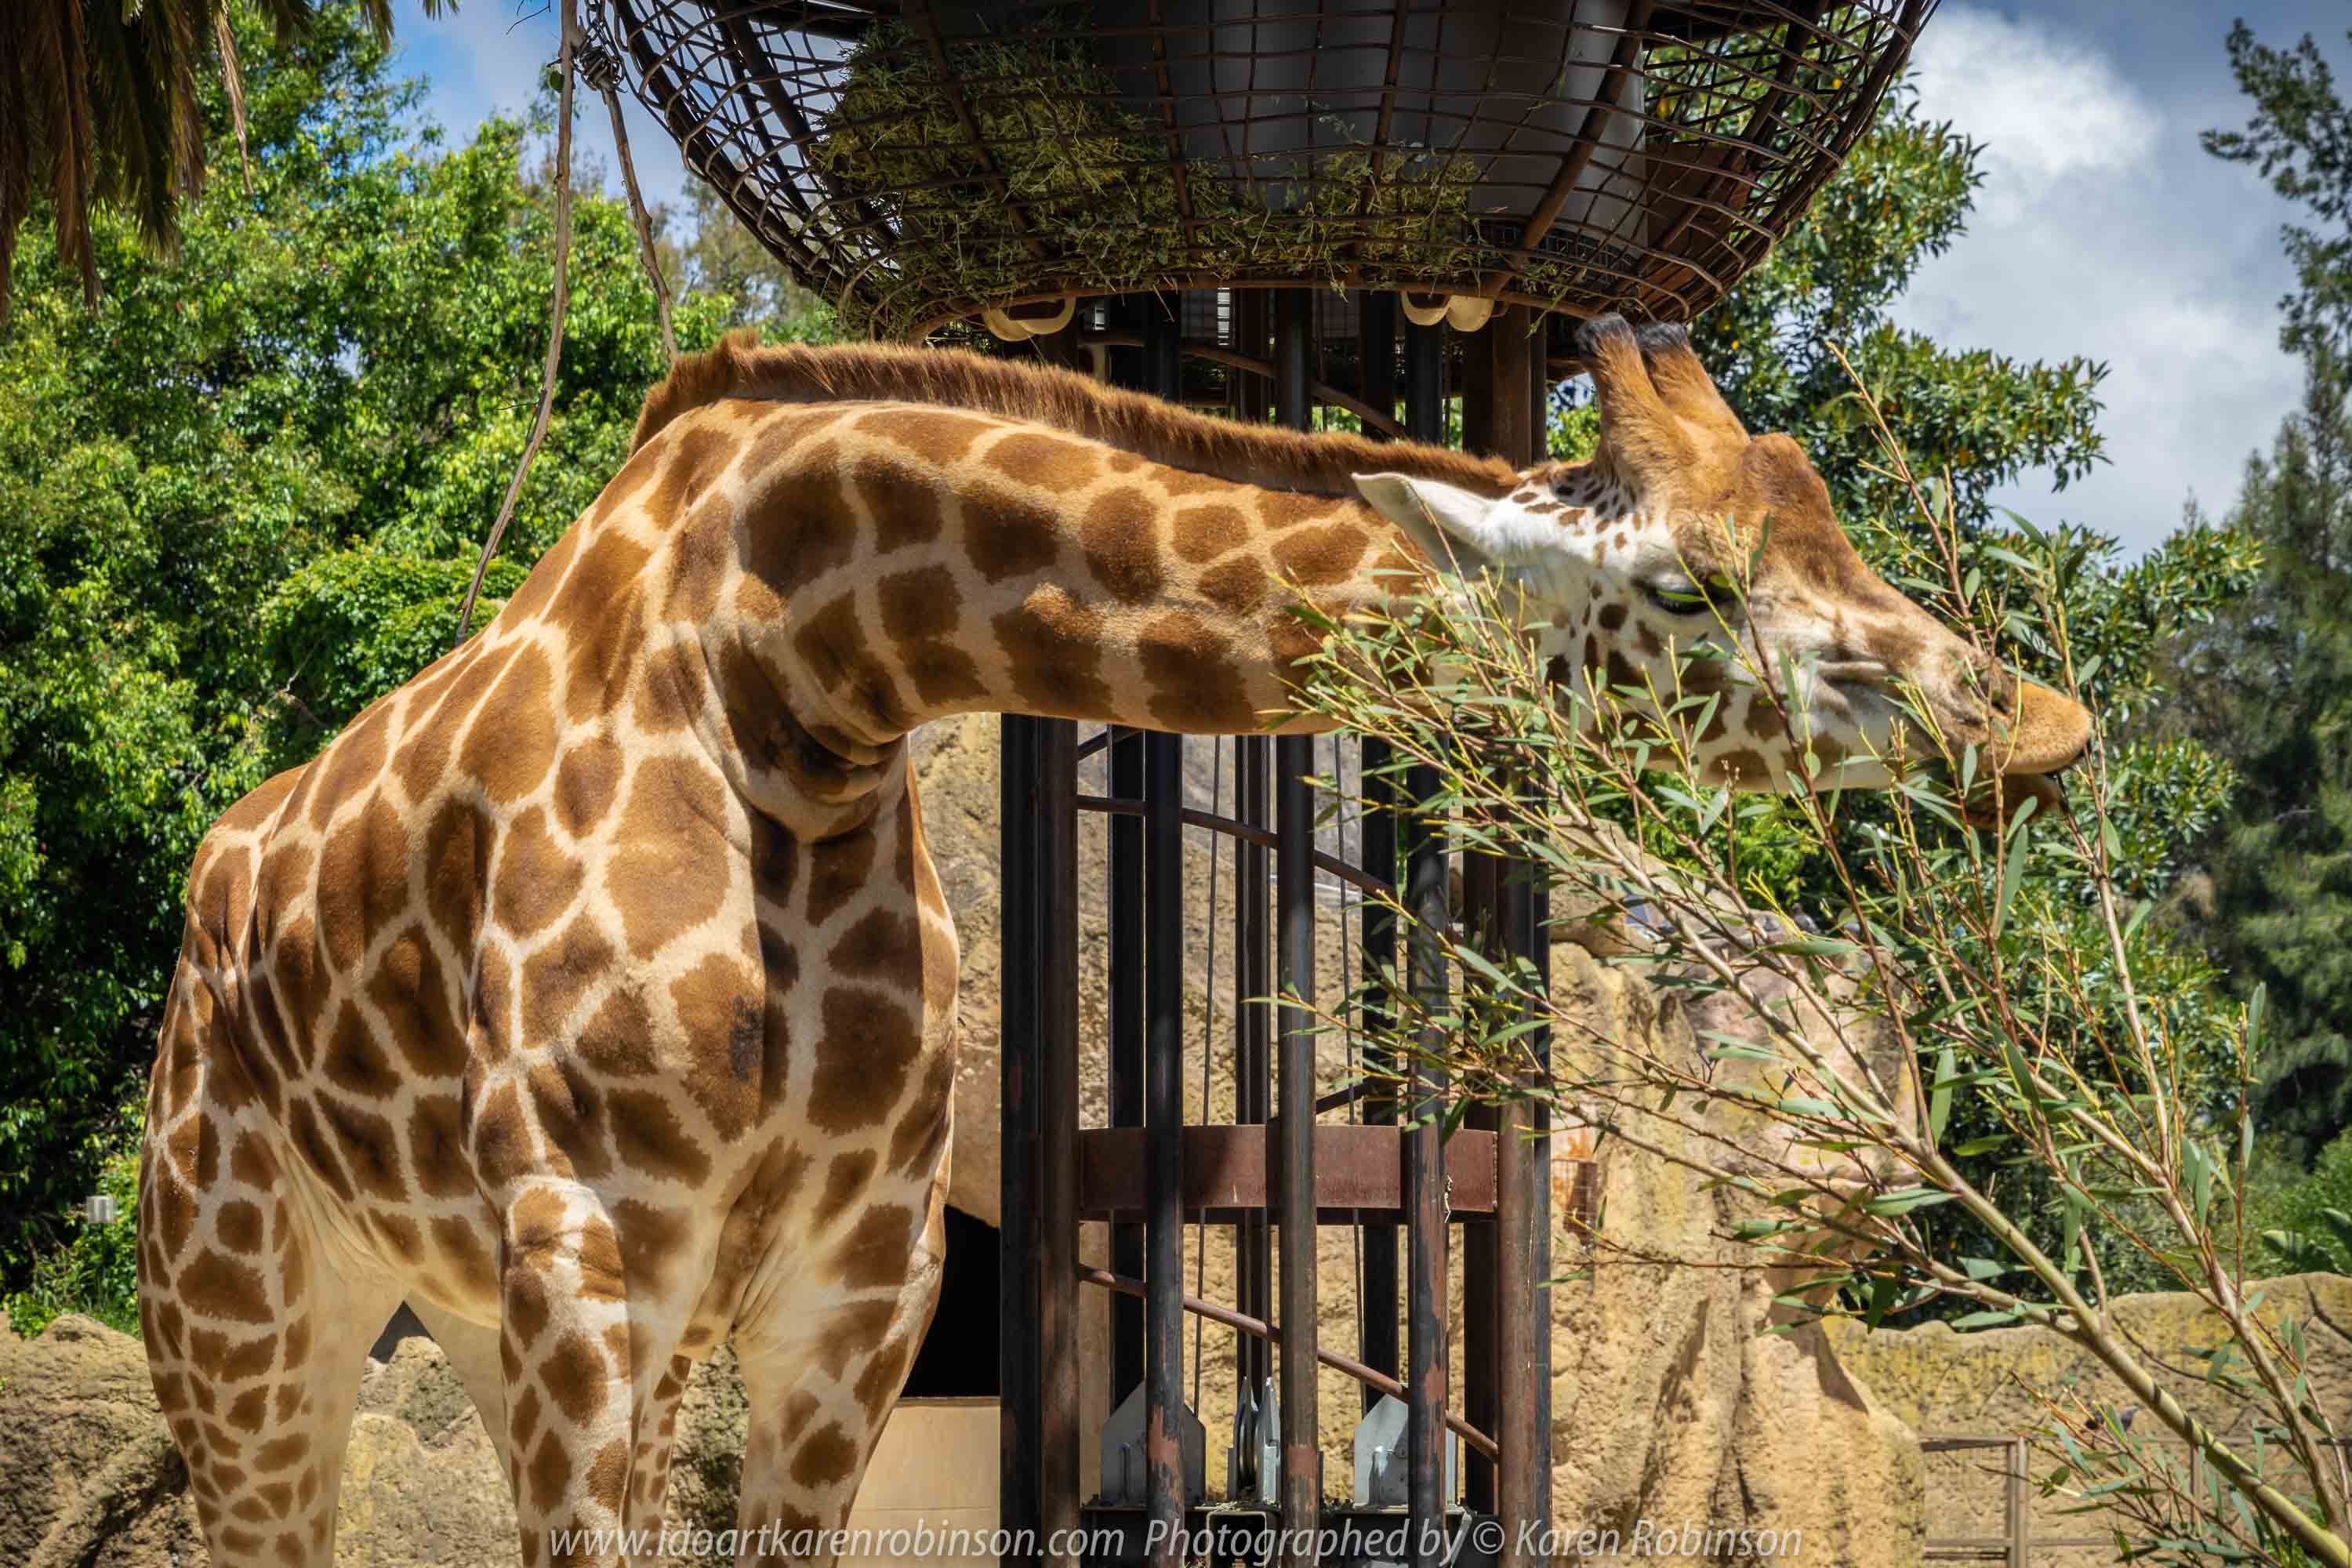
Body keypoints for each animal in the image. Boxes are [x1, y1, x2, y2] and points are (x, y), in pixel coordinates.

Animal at [135, 314, 2091, 1567]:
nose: (2037, 728)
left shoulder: (848, 1290)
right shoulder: (596, 1262)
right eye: (1689, 587)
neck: (798, 687)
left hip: (468, 1312)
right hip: (244, 1312)